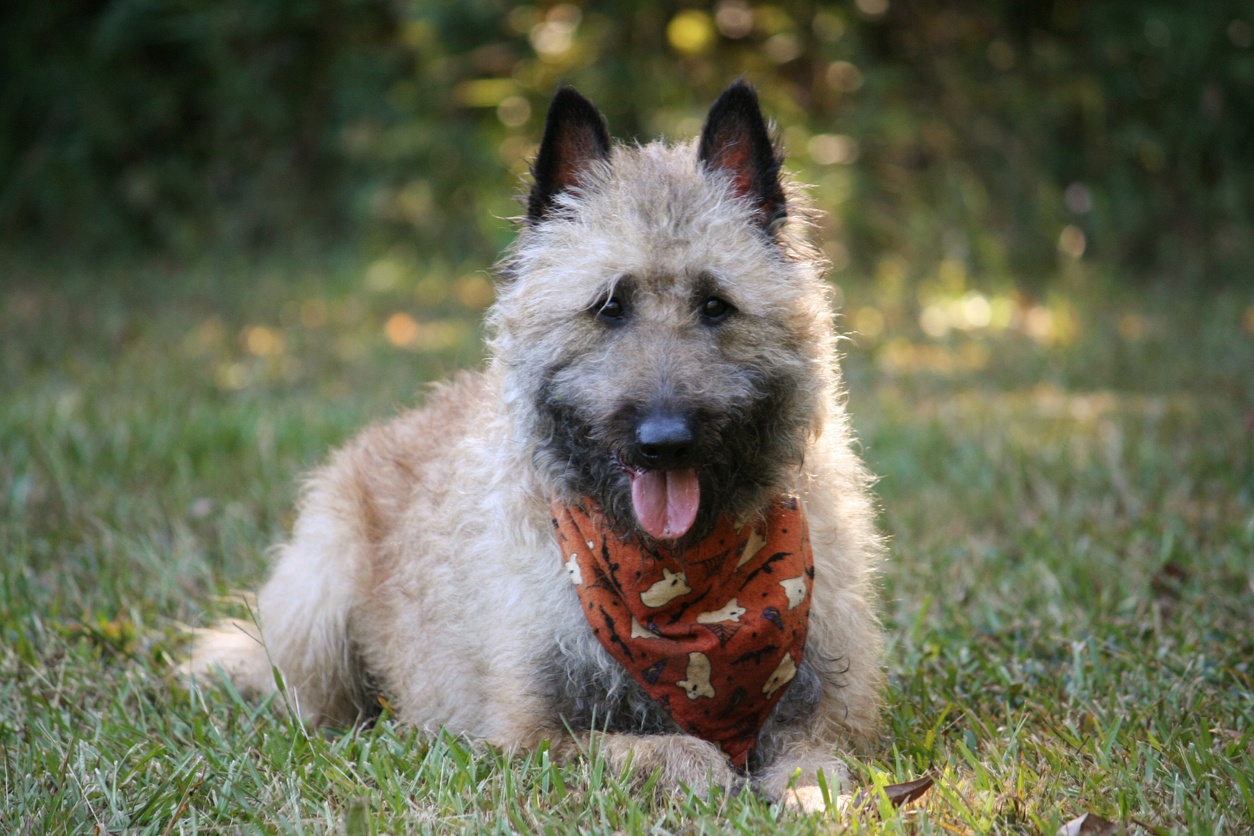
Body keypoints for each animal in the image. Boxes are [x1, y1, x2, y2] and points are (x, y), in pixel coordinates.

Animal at [188, 80, 892, 812]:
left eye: (715, 305)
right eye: (609, 306)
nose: (664, 443)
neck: (679, 581)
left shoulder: (833, 716)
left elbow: (822, 762)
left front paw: (815, 799)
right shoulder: (525, 737)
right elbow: (667, 750)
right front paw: (709, 767)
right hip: (323, 611)